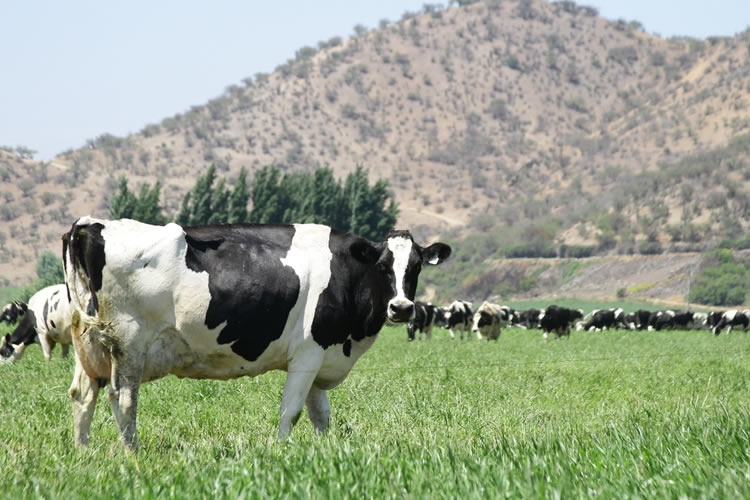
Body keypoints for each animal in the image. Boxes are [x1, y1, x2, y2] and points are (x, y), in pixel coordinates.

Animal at [63, 218, 452, 450]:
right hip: (129, 343)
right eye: (383, 266)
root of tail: (89, 225)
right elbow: (291, 411)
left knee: (83, 394)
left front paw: (326, 452)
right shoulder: (308, 354)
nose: (401, 307)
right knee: (123, 398)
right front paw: (280, 451)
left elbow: (321, 415)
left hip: (89, 346)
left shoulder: (321, 357)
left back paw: (83, 450)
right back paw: (133, 452)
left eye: (416, 267)